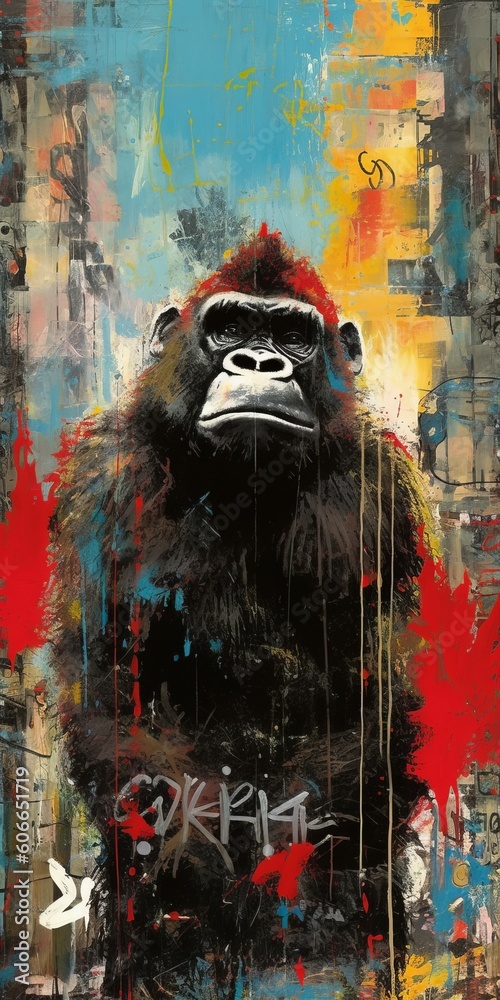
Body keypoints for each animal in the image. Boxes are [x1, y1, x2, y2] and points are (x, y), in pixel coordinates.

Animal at [50, 226, 428, 999]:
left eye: (292, 335)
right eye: (228, 327)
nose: (259, 361)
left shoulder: (380, 495)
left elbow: (371, 706)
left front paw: (291, 886)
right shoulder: (105, 477)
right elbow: (108, 693)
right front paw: (189, 872)